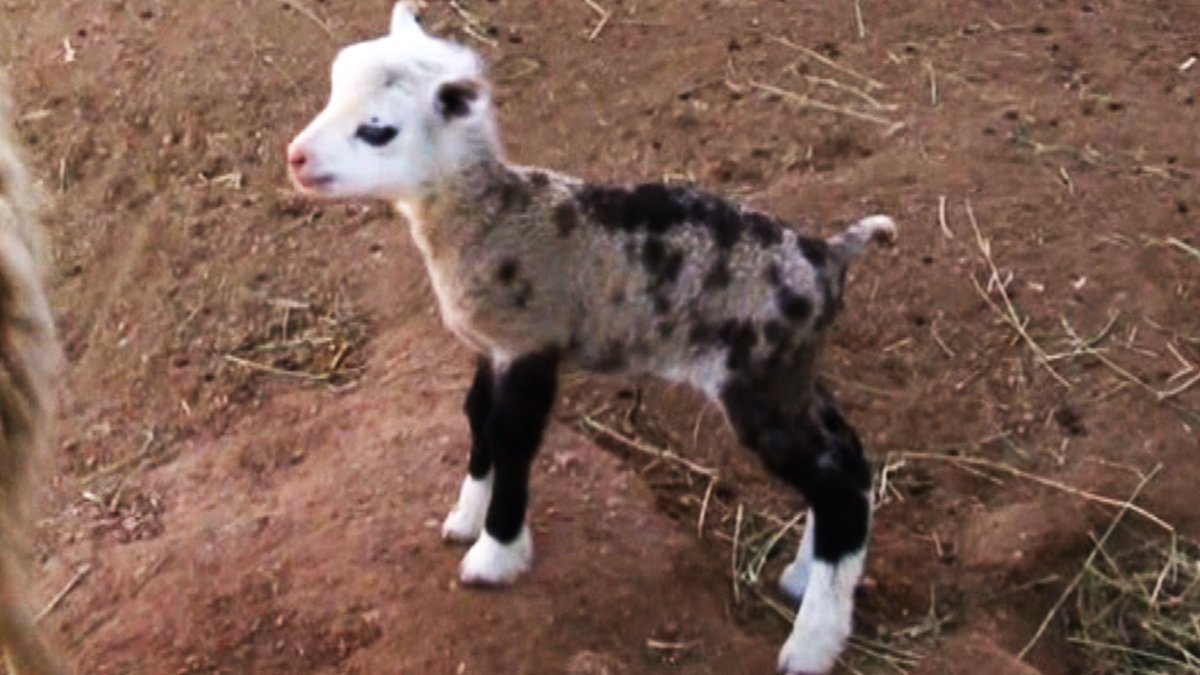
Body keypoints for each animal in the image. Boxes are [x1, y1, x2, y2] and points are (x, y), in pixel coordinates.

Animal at [287, 5, 896, 673]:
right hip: (791, 369)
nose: (295, 158)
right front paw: (465, 517)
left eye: (378, 130)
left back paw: (811, 643)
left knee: (837, 482)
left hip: (756, 375)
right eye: (332, 91)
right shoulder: (493, 343)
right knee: (846, 455)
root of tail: (830, 257)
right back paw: (805, 574)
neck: (490, 216)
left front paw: (494, 555)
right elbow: (477, 418)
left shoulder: (533, 338)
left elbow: (512, 434)